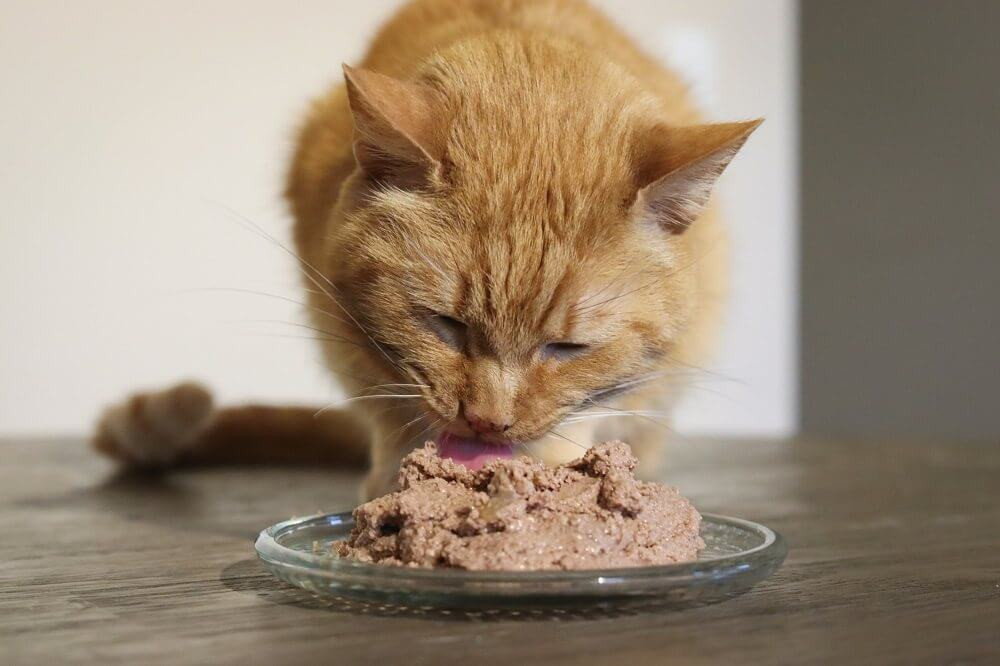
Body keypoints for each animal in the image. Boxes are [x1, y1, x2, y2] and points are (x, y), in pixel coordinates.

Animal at [97, 0, 760, 498]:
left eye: (568, 348)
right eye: (444, 324)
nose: (488, 423)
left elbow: (591, 410)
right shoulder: (341, 331)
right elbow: (388, 407)